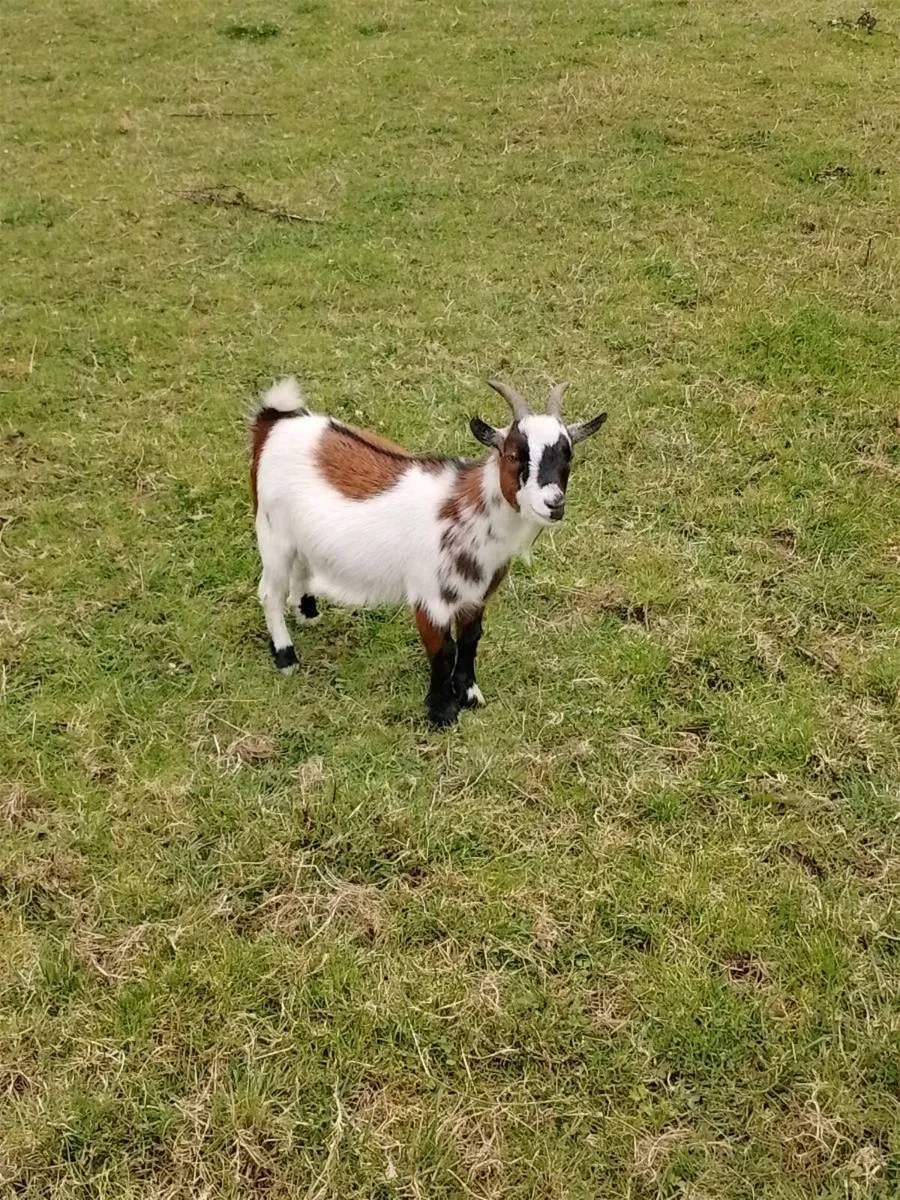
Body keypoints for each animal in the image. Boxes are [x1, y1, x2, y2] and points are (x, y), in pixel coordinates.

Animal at [249, 376, 607, 727]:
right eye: (514, 455)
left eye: (568, 455)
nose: (553, 504)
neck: (468, 512)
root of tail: (273, 422)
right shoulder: (429, 596)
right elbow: (443, 650)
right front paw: (442, 712)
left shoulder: (475, 595)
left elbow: (470, 639)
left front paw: (470, 694)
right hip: (272, 532)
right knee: (269, 593)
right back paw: (286, 655)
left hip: (299, 536)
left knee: (300, 568)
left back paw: (306, 611)